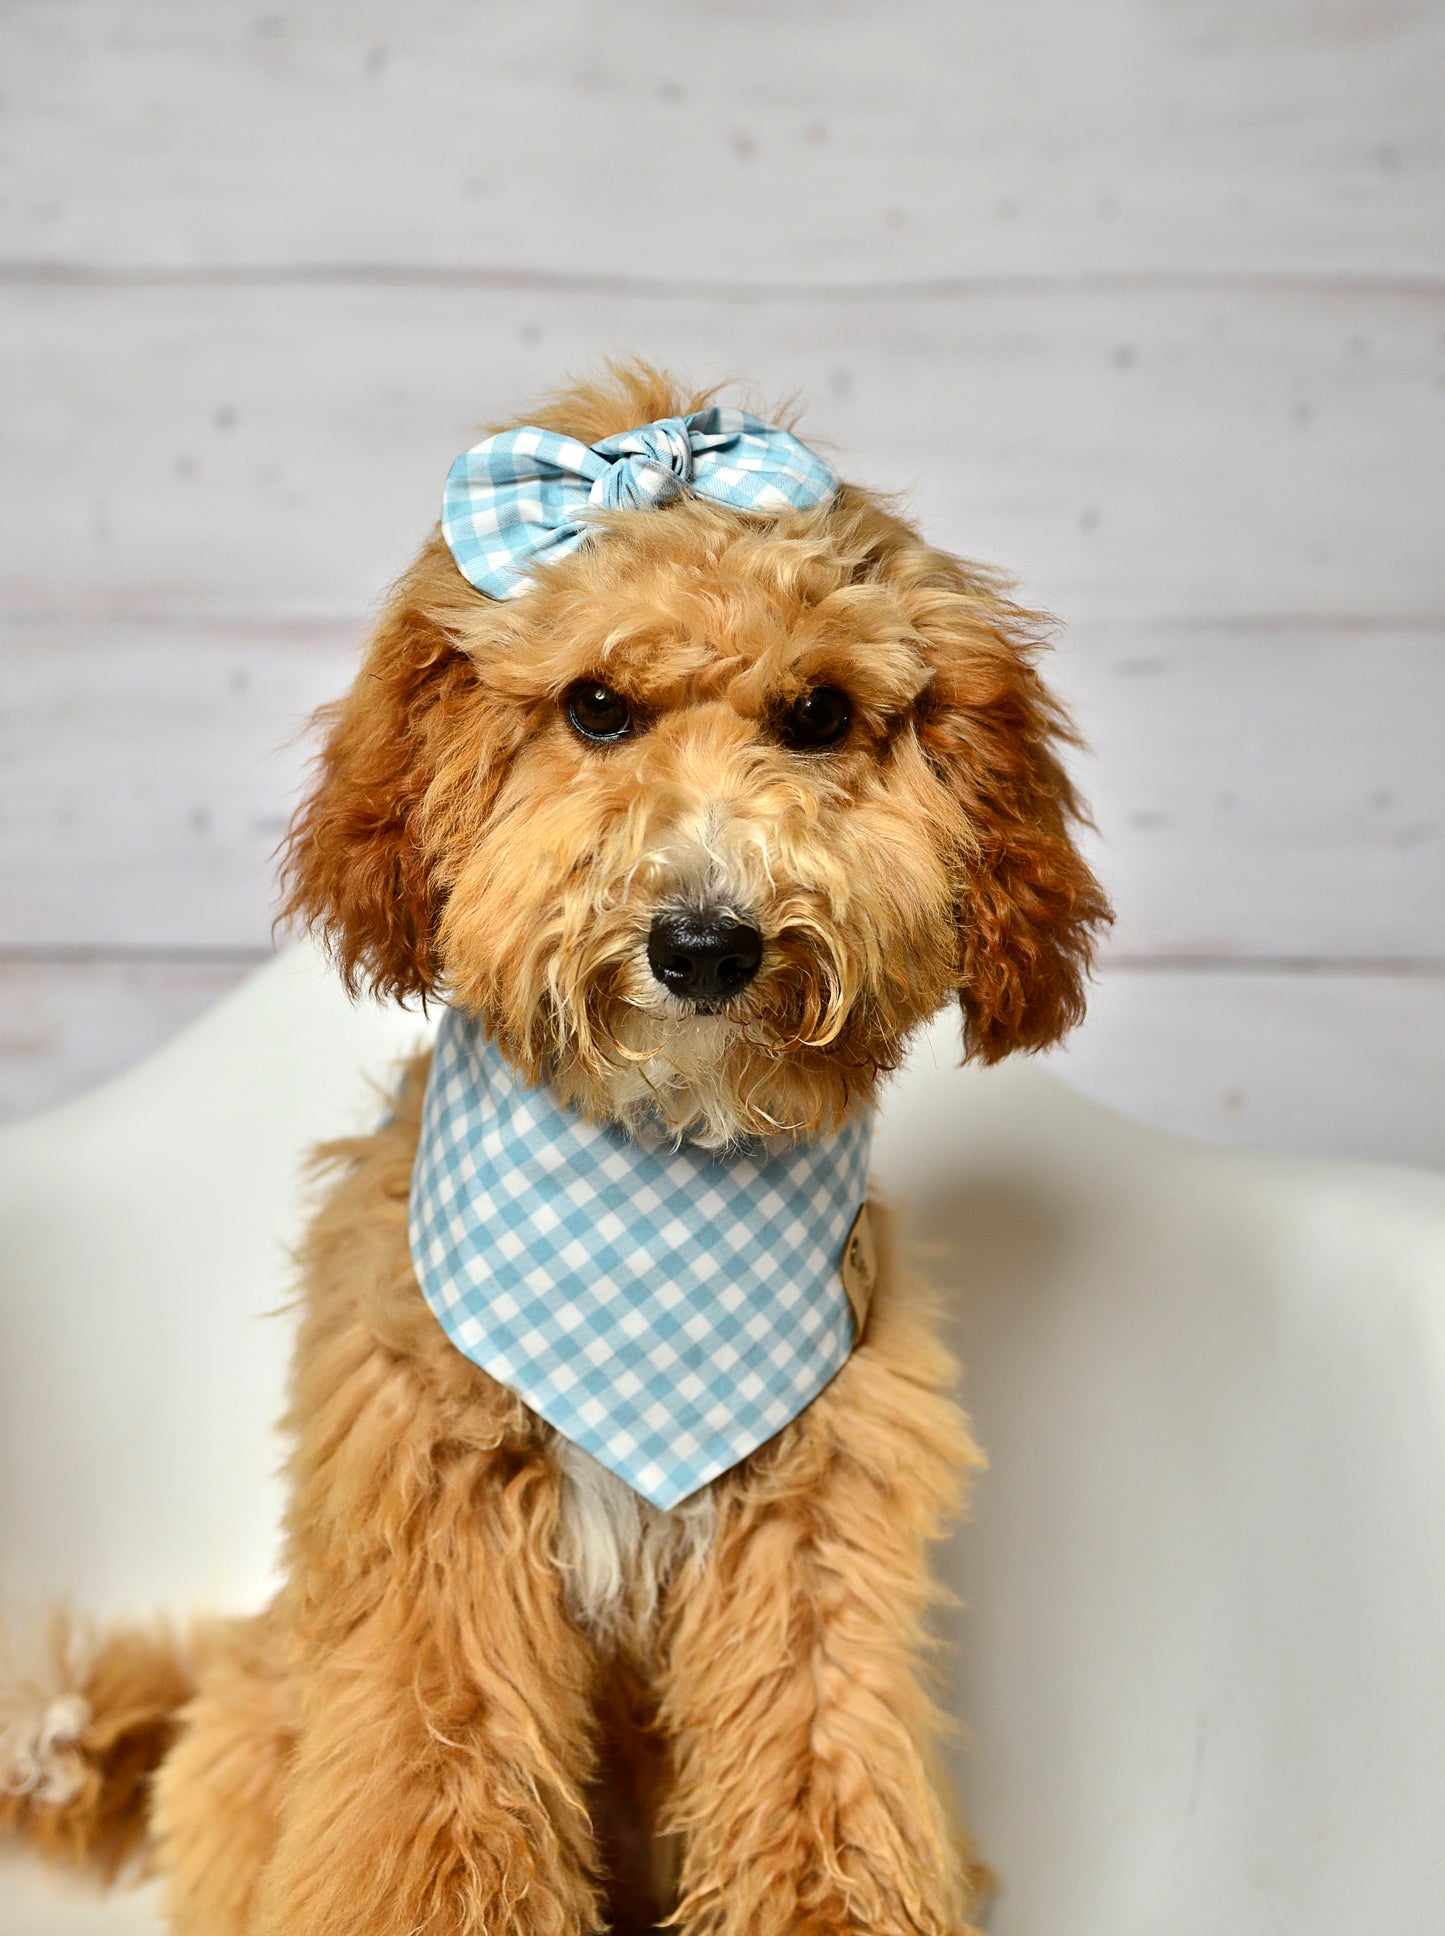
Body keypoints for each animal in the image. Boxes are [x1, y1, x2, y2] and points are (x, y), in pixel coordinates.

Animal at [0, 365, 1107, 1936]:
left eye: (817, 714)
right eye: (596, 706)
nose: (705, 944)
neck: (654, 1171)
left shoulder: (813, 1543)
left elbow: (821, 1780)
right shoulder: (440, 1544)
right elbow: (434, 1802)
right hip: (264, 1724)